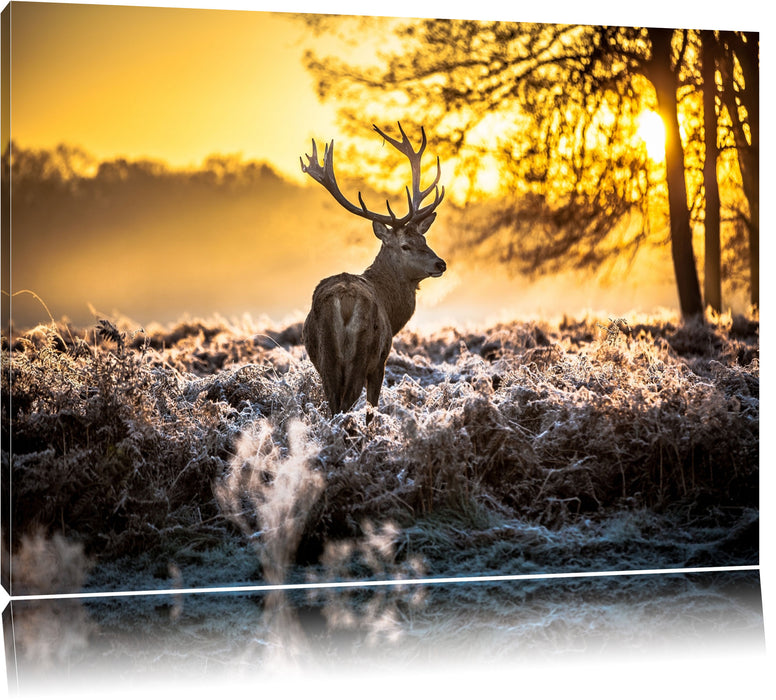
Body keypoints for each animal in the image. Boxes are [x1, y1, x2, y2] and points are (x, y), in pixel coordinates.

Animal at [300, 122, 446, 420]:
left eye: (424, 239)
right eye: (405, 245)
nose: (441, 264)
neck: (392, 309)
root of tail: (344, 302)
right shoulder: (381, 361)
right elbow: (372, 410)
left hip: (326, 358)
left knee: (333, 406)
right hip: (362, 354)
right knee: (345, 405)